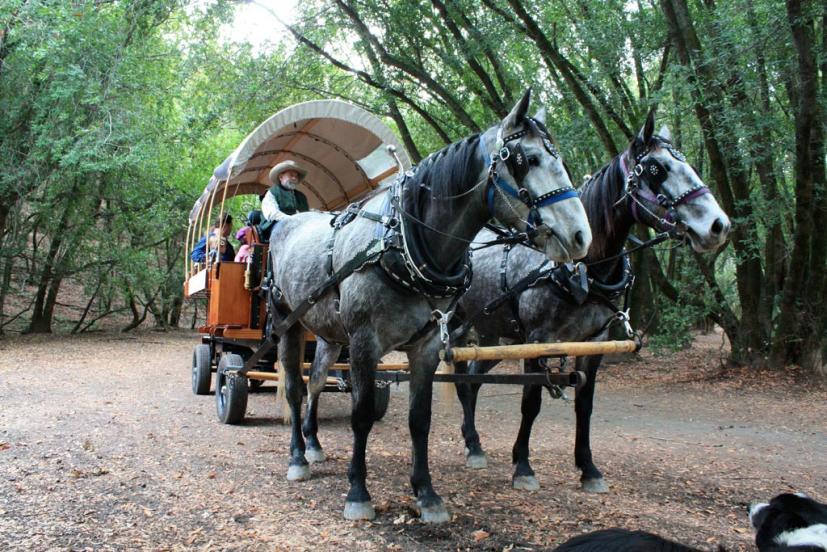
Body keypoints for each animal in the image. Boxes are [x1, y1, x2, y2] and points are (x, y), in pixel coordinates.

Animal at [268, 90, 592, 520]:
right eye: (528, 160)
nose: (580, 235)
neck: (402, 242)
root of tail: (286, 222)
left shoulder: (426, 345)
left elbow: (419, 419)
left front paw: (426, 493)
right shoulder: (365, 342)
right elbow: (361, 415)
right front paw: (358, 492)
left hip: (330, 334)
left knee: (317, 379)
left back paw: (314, 443)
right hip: (288, 322)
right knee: (293, 387)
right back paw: (298, 456)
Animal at [456, 111, 736, 492]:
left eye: (689, 164)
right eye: (657, 169)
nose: (718, 226)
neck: (581, 269)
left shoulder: (594, 342)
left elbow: (584, 405)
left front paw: (588, 468)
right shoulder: (537, 340)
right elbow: (531, 403)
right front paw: (524, 467)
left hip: (494, 337)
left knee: (471, 378)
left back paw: (474, 443)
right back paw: (472, 444)